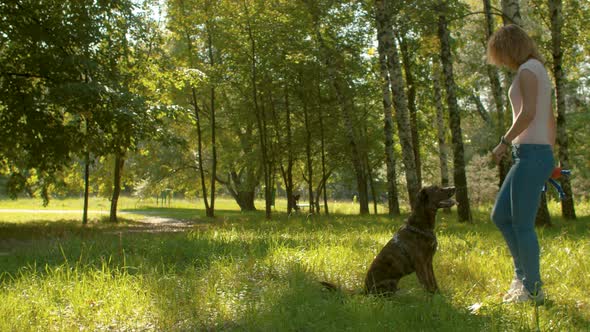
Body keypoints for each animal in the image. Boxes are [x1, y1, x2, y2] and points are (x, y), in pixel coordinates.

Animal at [324, 185, 458, 294]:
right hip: (388, 283)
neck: (420, 226)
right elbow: (427, 284)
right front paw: (432, 300)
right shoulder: (420, 263)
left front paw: (439, 296)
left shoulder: (428, 262)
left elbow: (433, 282)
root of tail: (364, 290)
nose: (454, 187)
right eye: (437, 189)